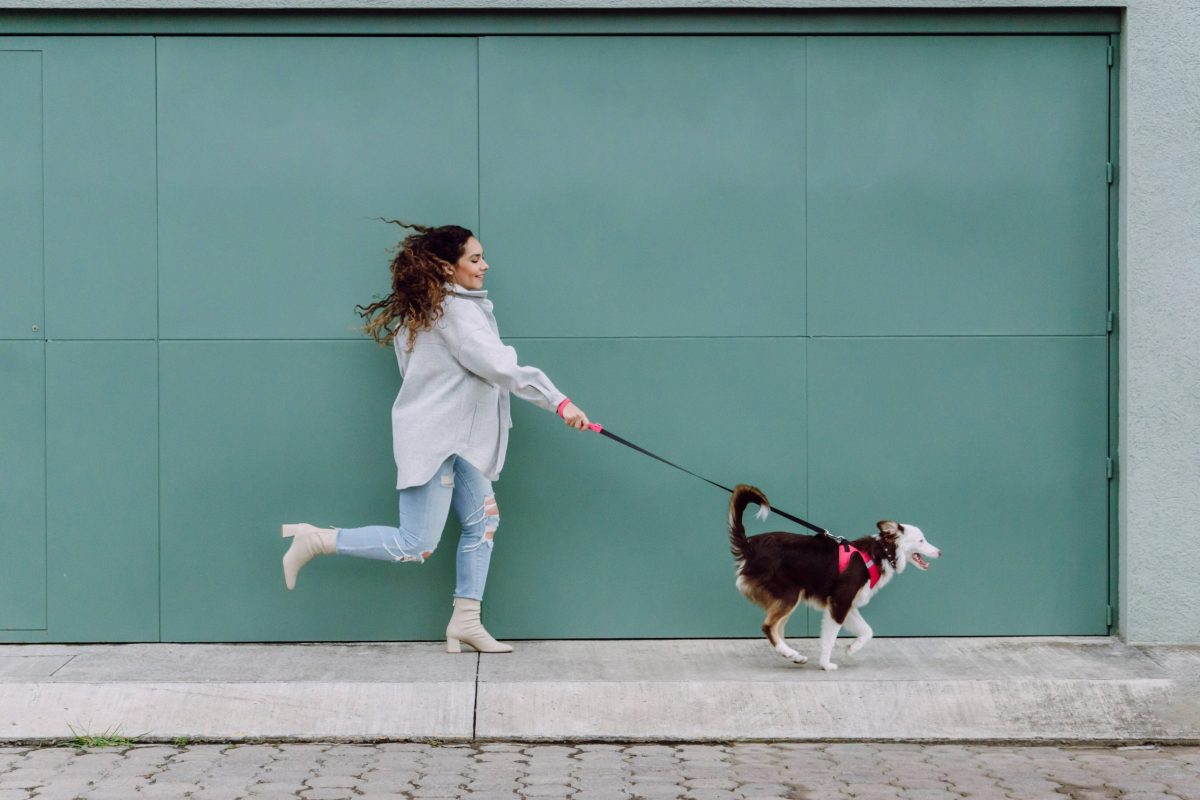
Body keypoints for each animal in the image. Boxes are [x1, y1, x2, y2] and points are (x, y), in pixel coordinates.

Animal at [724, 484, 940, 671]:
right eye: (921, 540)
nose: (939, 552)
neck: (880, 553)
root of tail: (749, 546)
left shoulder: (848, 605)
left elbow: (867, 631)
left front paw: (852, 648)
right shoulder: (839, 602)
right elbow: (829, 640)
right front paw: (826, 664)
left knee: (777, 629)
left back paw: (792, 655)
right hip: (789, 594)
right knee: (769, 627)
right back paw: (791, 653)